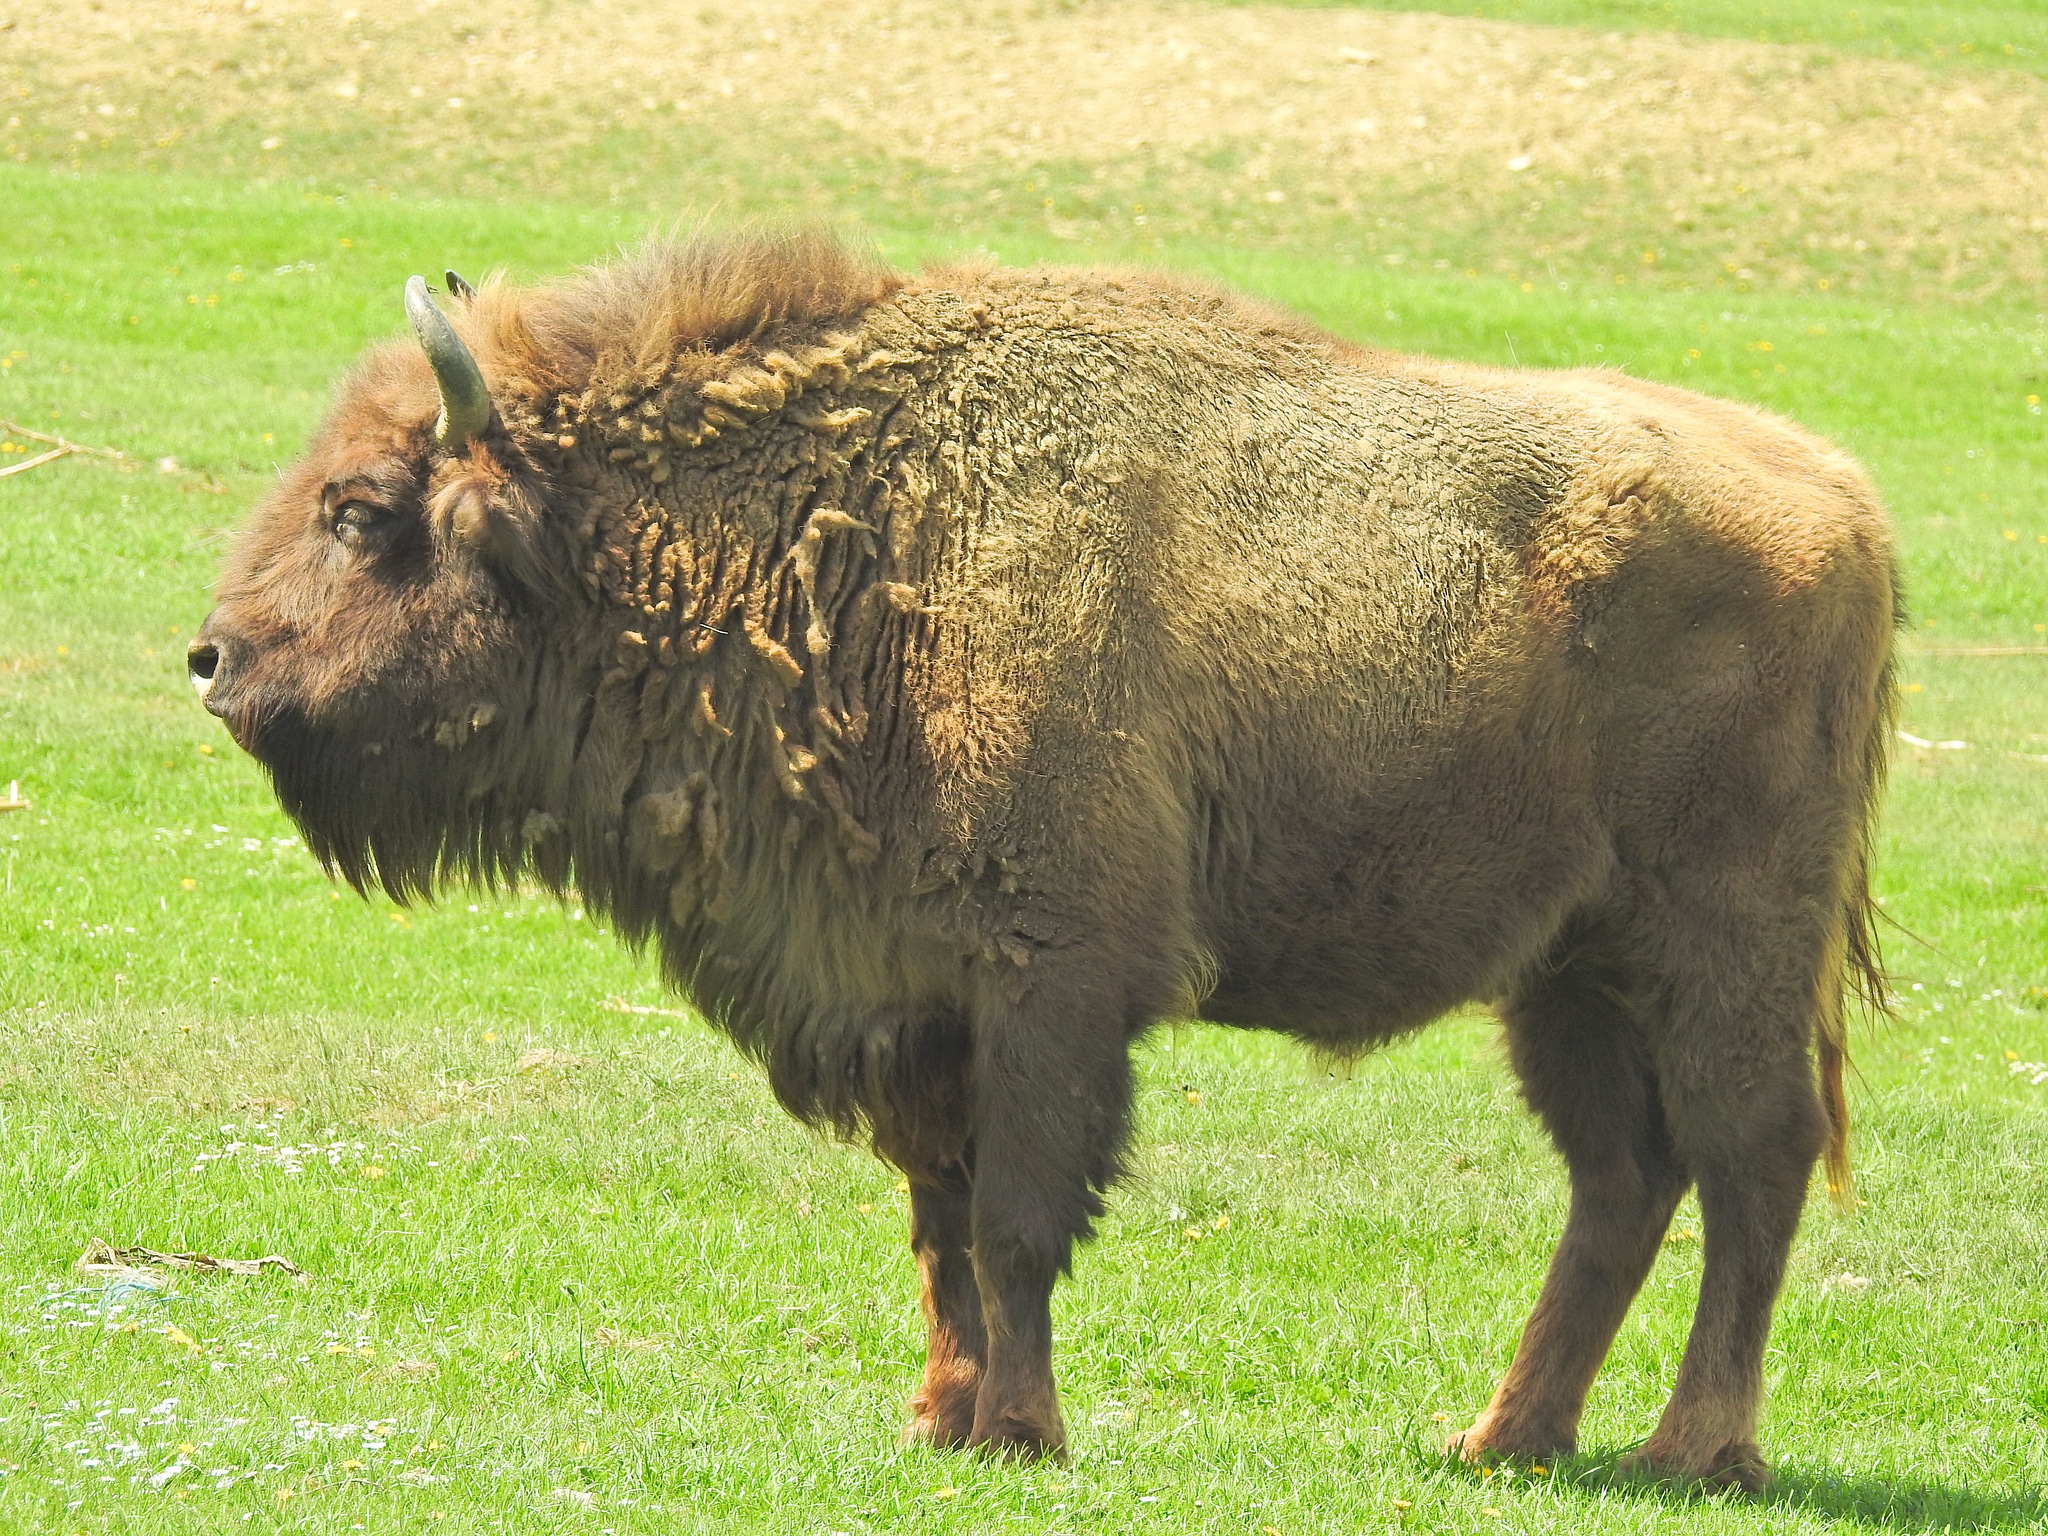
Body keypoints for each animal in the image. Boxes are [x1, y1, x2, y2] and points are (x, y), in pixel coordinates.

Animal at [192, 231, 1884, 1490]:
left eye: (361, 511)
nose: (213, 658)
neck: (849, 524)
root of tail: (1844, 502)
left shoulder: (1048, 987)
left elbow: (1015, 1219)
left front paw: (1018, 1431)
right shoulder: (914, 994)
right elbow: (941, 1223)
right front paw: (942, 1421)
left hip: (1719, 948)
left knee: (1748, 1162)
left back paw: (1690, 1453)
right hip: (1567, 975)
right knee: (1624, 1179)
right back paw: (1502, 1441)